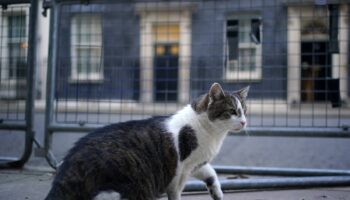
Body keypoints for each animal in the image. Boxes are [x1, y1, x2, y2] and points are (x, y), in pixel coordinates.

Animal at [45, 82, 249, 199]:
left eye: (244, 110)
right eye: (232, 111)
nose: (244, 122)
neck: (211, 132)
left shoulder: (196, 163)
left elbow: (211, 173)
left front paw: (217, 192)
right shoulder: (180, 170)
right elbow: (176, 192)